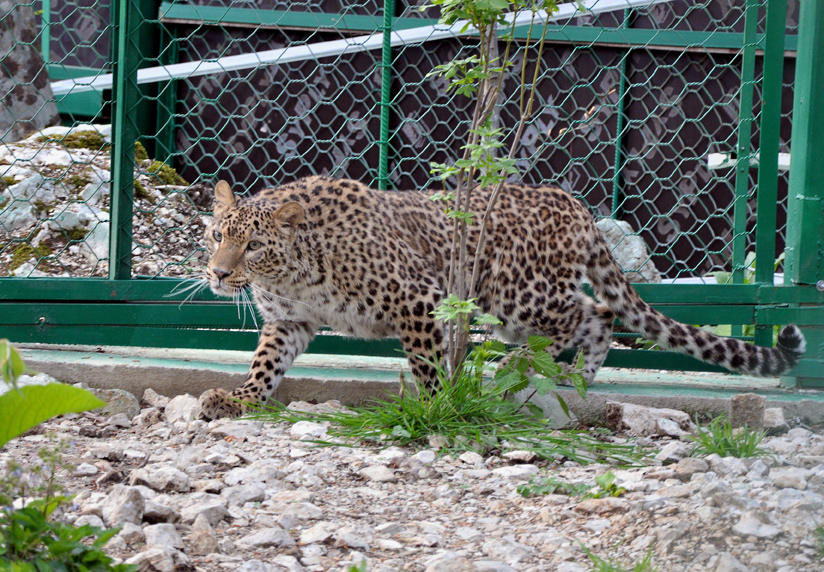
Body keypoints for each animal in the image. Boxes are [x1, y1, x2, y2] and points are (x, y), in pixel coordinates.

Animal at [198, 175, 804, 420]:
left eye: (253, 245)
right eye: (216, 235)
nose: (218, 275)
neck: (291, 274)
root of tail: (575, 205)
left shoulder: (419, 299)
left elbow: (429, 367)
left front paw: (438, 406)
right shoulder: (289, 323)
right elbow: (264, 365)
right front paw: (238, 400)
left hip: (517, 295)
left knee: (587, 311)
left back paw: (521, 368)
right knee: (599, 315)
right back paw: (574, 379)